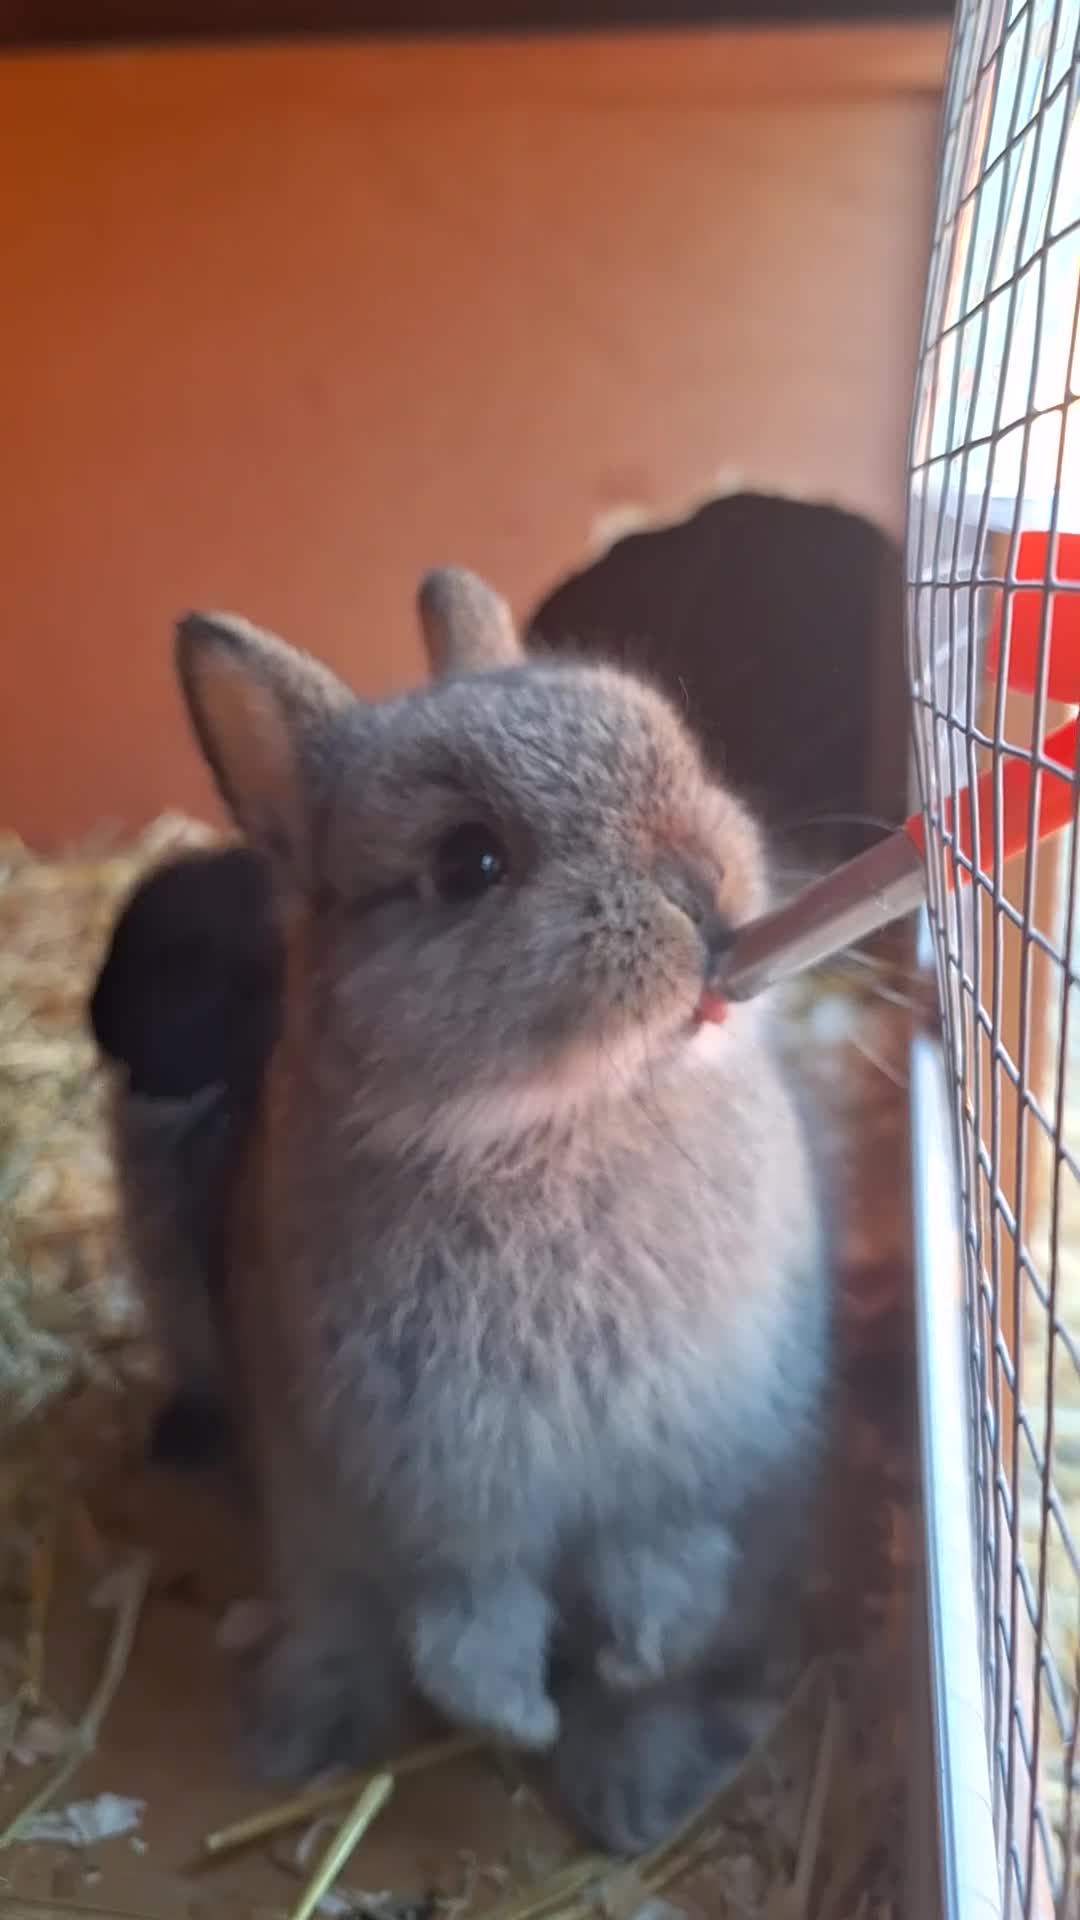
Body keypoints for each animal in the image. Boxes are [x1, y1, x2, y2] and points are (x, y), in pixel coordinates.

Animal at [171, 567, 832, 1854]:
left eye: (674, 745)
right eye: (468, 863)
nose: (702, 890)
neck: (555, 1124)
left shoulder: (684, 1467)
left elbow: (663, 1571)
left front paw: (630, 1664)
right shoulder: (441, 1493)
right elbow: (472, 1626)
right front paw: (522, 1720)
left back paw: (637, 1793)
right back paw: (297, 1739)